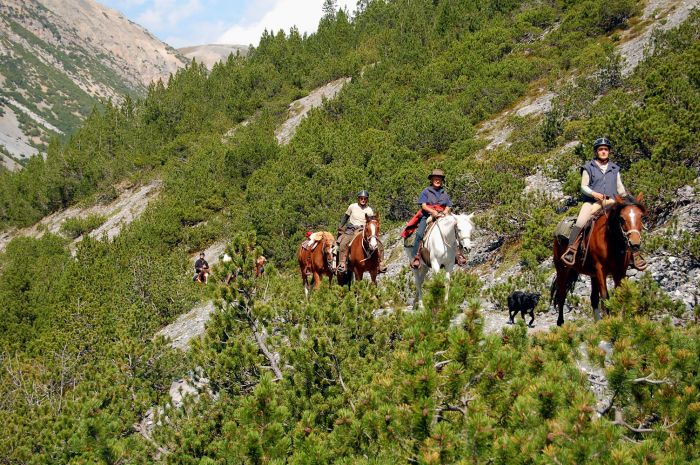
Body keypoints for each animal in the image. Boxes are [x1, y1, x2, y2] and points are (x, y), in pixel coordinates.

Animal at [556, 192, 648, 322]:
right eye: (621, 218)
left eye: (641, 216)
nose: (634, 244)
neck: (611, 243)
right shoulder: (600, 270)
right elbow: (605, 296)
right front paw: (609, 320)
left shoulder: (620, 271)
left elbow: (619, 294)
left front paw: (620, 319)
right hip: (562, 269)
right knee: (561, 295)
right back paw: (561, 323)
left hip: (592, 274)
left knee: (593, 298)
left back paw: (597, 322)